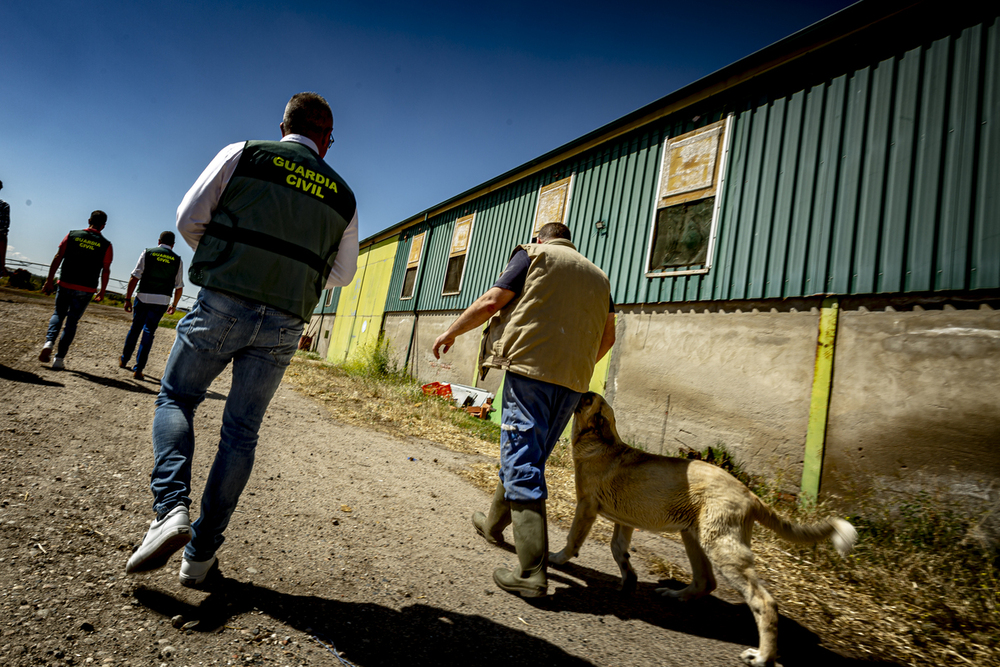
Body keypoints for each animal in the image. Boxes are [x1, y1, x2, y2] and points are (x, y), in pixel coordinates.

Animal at [552, 394, 856, 664]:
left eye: (589, 400)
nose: (583, 391)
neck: (599, 440)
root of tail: (749, 495)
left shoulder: (586, 506)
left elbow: (573, 539)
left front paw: (557, 558)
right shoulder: (625, 520)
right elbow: (618, 550)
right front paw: (629, 579)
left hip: (721, 547)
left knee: (764, 602)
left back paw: (763, 657)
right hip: (694, 536)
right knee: (706, 581)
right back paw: (677, 596)